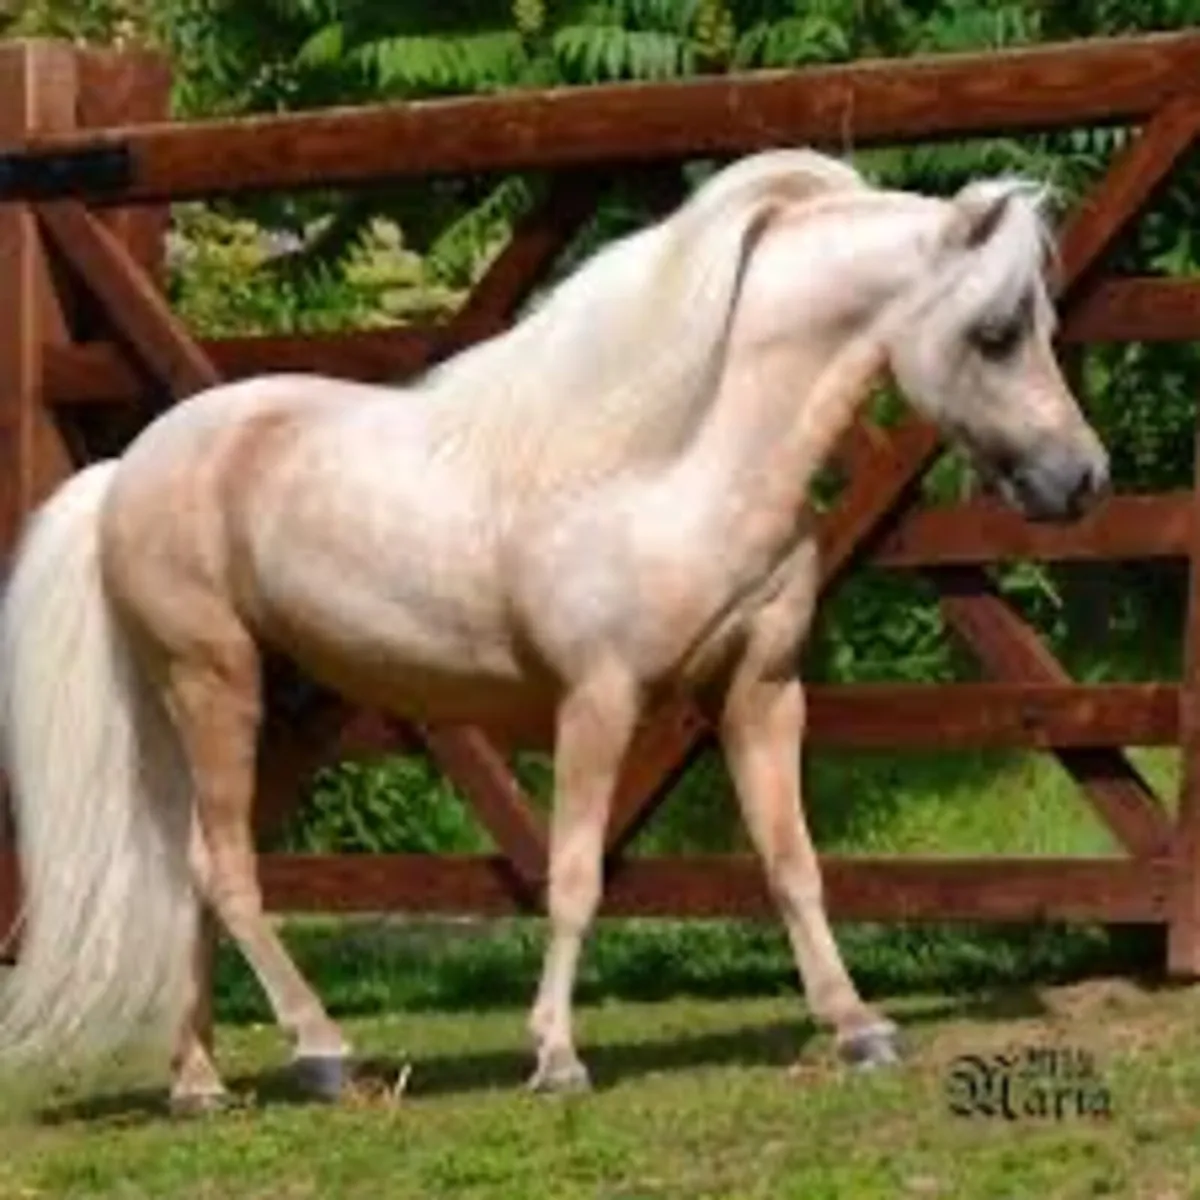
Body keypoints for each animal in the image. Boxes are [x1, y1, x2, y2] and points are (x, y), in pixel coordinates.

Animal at [0, 147, 1109, 1114]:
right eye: (998, 330)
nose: (1081, 480)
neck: (678, 464)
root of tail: (126, 473)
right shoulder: (599, 702)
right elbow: (575, 877)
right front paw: (557, 1057)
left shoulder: (760, 694)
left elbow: (793, 863)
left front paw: (858, 1028)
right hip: (212, 679)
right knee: (224, 873)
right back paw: (321, 1052)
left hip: (261, 701)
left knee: (196, 870)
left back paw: (199, 1085)